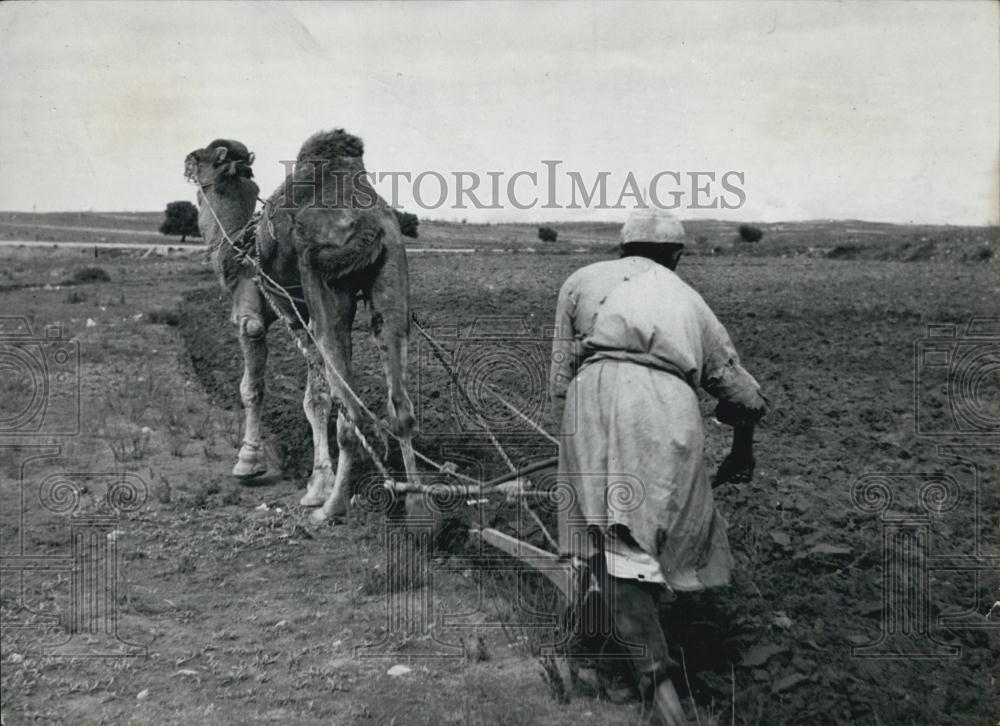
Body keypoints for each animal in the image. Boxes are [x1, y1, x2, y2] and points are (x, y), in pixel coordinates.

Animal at [187, 131, 418, 524]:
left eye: (203, 157)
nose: (186, 160)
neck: (237, 243)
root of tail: (369, 221)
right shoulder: (299, 317)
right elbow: (316, 399)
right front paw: (315, 484)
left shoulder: (251, 314)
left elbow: (252, 388)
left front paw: (249, 463)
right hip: (391, 276)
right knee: (399, 405)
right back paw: (419, 507)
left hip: (326, 285)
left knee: (352, 416)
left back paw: (332, 509)